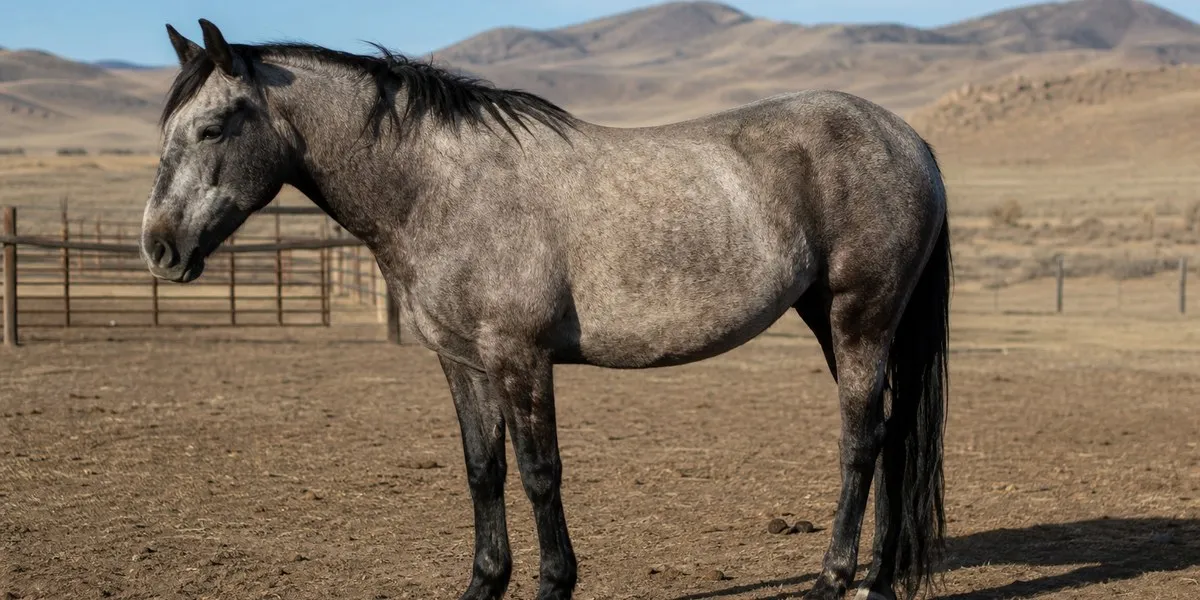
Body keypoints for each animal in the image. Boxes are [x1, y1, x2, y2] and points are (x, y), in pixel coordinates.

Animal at [141, 19, 951, 600]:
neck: (442, 187)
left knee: (860, 442)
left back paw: (834, 580)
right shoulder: (463, 362)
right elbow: (482, 470)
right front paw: (483, 584)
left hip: (860, 319)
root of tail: (907, 137)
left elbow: (539, 472)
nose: (159, 247)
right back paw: (880, 581)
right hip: (838, 323)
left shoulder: (519, 359)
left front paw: (554, 583)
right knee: (888, 436)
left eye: (211, 128)